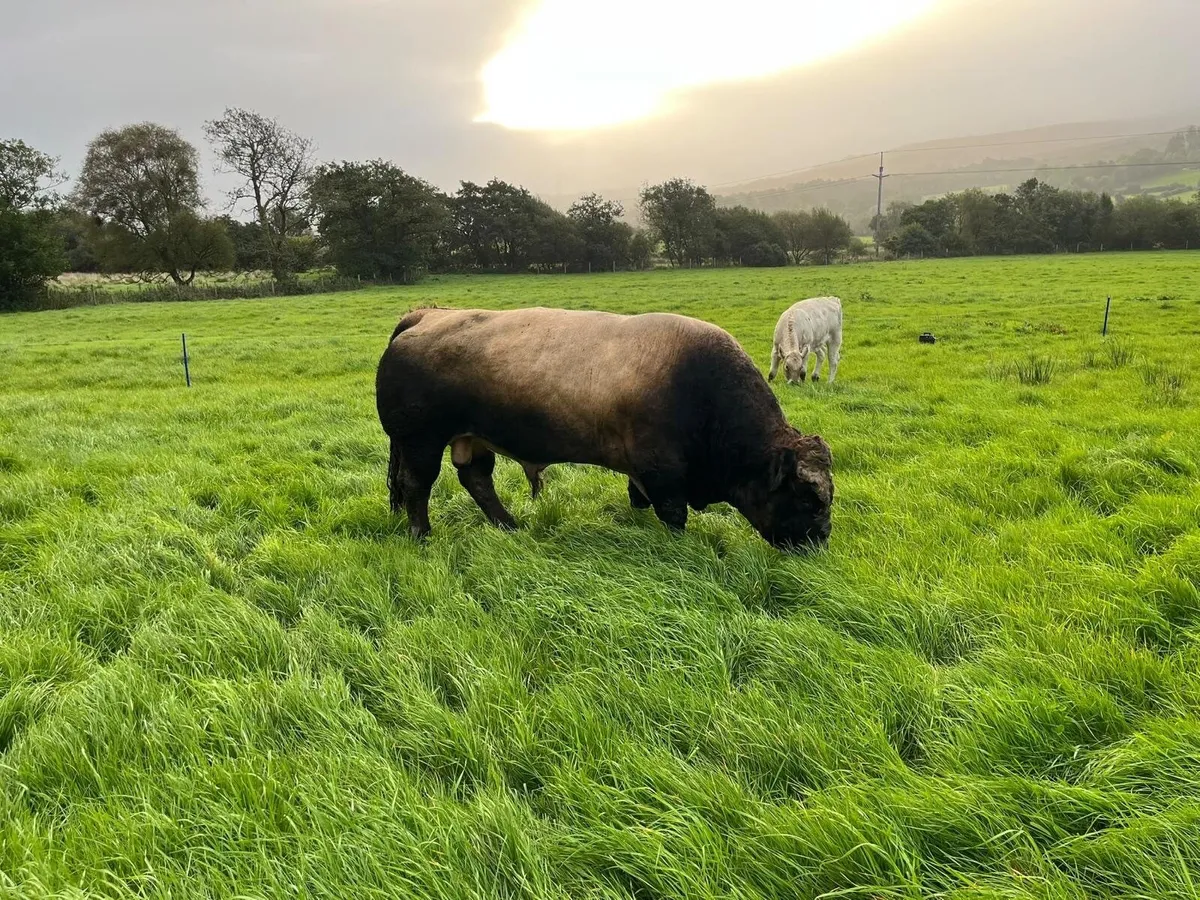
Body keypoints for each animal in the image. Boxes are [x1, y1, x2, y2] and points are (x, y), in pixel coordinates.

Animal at [375, 307, 834, 549]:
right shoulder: (663, 471)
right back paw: (422, 534)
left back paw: (508, 525)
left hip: (471, 439)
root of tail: (427, 315)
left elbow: (640, 500)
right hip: (420, 441)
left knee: (477, 481)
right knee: (417, 484)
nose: (820, 541)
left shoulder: (644, 472)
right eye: (808, 498)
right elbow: (673, 513)